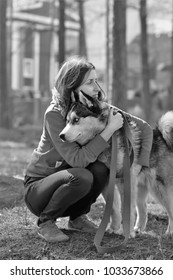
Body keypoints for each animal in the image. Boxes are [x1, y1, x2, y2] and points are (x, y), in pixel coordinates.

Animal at [59, 92, 173, 236]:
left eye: (76, 120)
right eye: (67, 121)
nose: (61, 136)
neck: (107, 139)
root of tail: (161, 134)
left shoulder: (126, 181)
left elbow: (126, 209)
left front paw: (127, 233)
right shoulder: (108, 182)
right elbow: (113, 207)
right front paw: (114, 228)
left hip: (160, 188)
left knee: (170, 209)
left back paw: (169, 232)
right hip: (141, 188)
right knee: (143, 208)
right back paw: (138, 229)